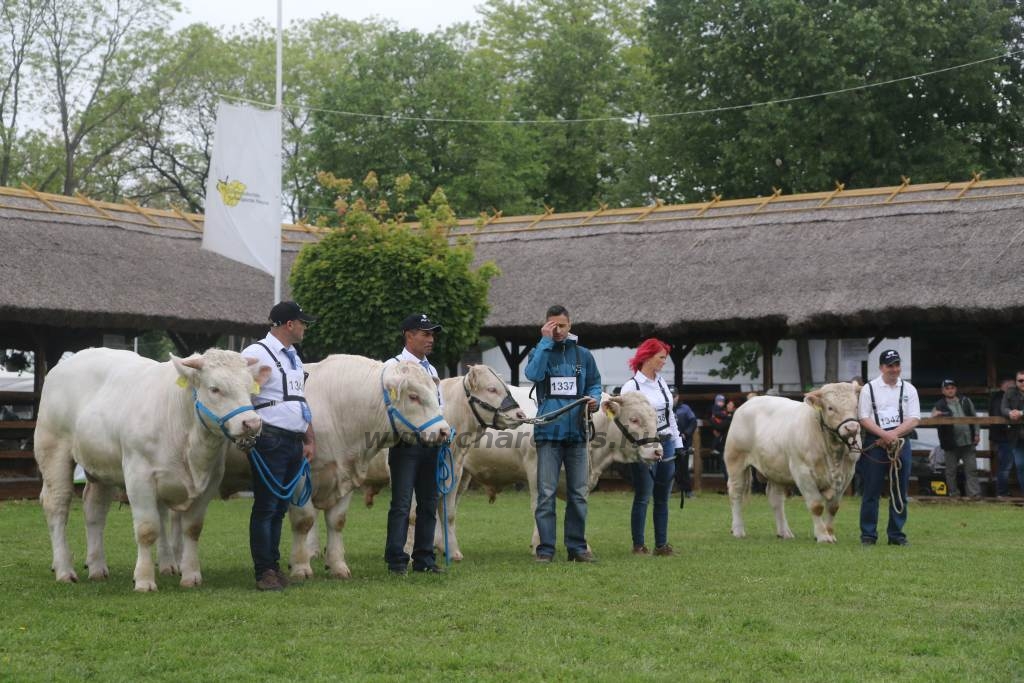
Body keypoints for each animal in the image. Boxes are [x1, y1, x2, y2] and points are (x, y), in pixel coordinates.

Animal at [34, 350, 268, 589]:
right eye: (215, 388)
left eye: (249, 386)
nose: (251, 423)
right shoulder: (139, 476)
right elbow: (147, 529)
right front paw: (144, 580)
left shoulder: (211, 480)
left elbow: (192, 528)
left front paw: (191, 576)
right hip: (53, 449)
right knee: (57, 505)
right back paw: (64, 569)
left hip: (102, 466)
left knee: (94, 509)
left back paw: (97, 567)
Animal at [724, 385, 860, 544]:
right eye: (830, 407)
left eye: (856, 406)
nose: (852, 428)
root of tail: (752, 400)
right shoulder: (802, 473)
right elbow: (817, 506)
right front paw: (822, 536)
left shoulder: (846, 474)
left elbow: (833, 507)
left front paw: (830, 534)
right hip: (736, 461)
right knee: (736, 493)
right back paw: (738, 530)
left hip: (775, 469)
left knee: (775, 498)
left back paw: (784, 532)